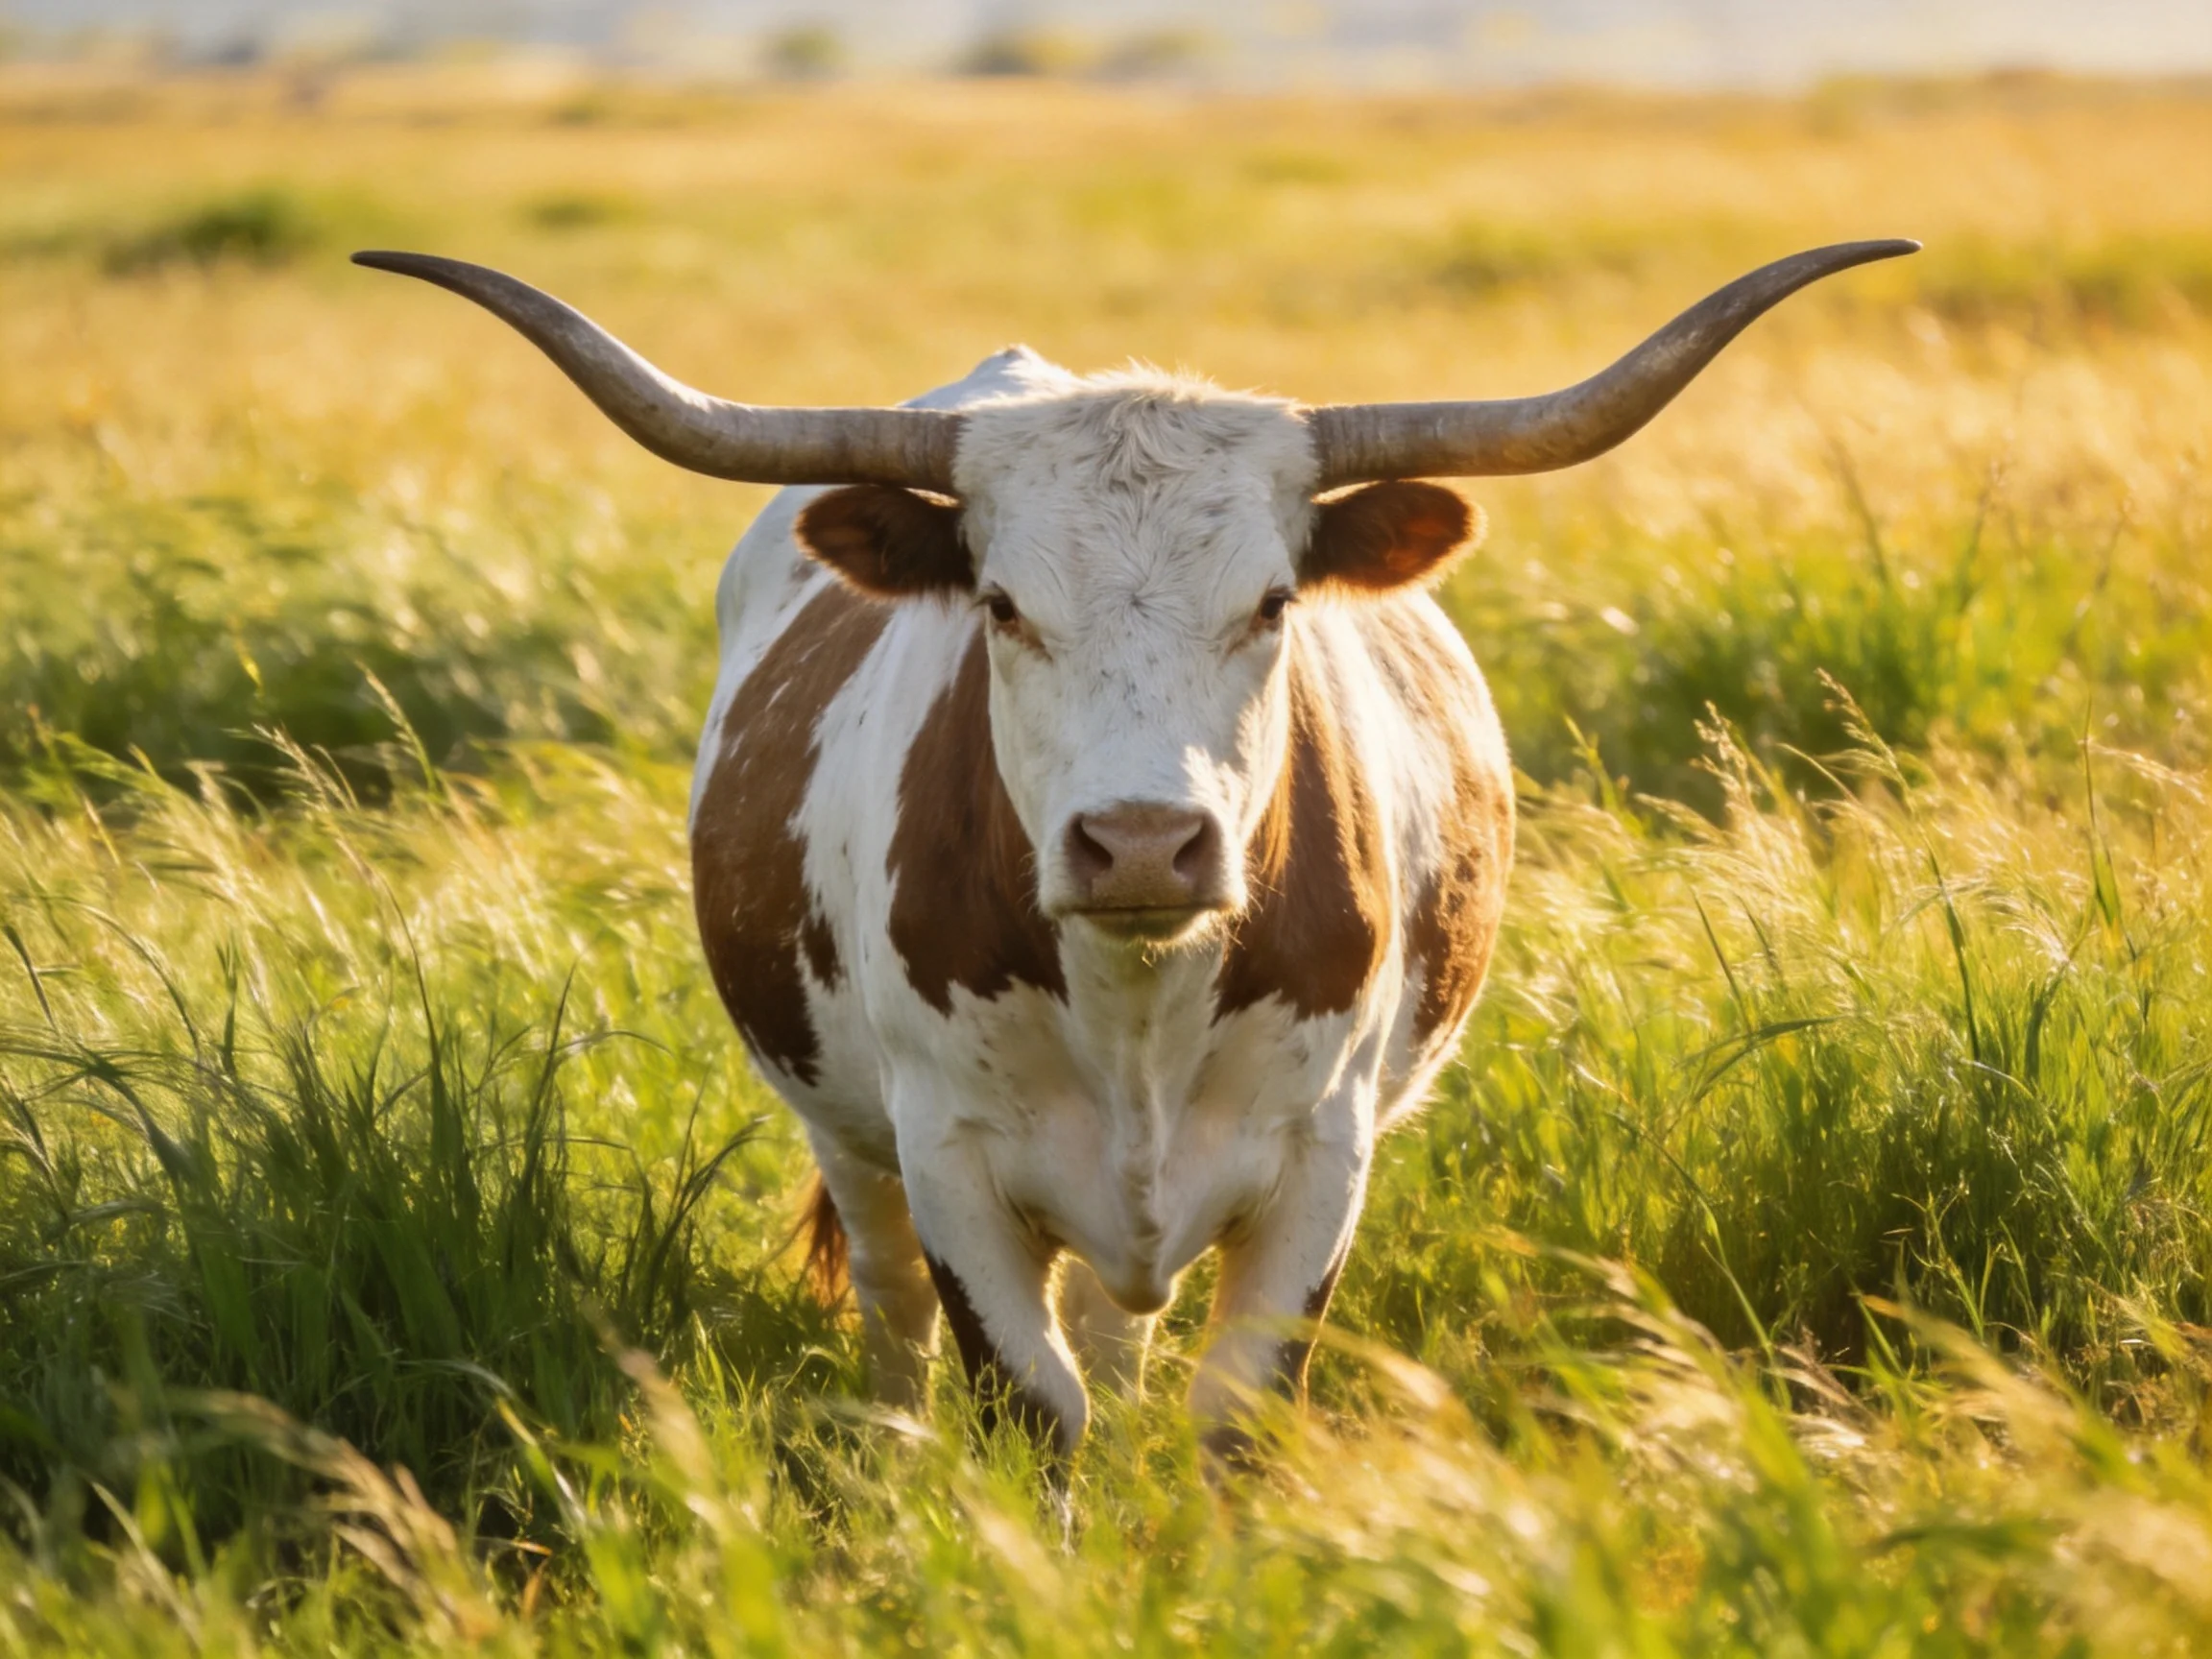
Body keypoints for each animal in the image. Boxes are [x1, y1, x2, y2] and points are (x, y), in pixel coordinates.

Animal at [357, 238, 1915, 1461]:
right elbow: (1027, 1403)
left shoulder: (1323, 1156)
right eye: (1001, 604)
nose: (1145, 844)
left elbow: (1236, 1412)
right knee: (898, 1319)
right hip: (847, 1132)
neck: (1140, 1002)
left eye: (1274, 601)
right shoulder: (950, 1160)